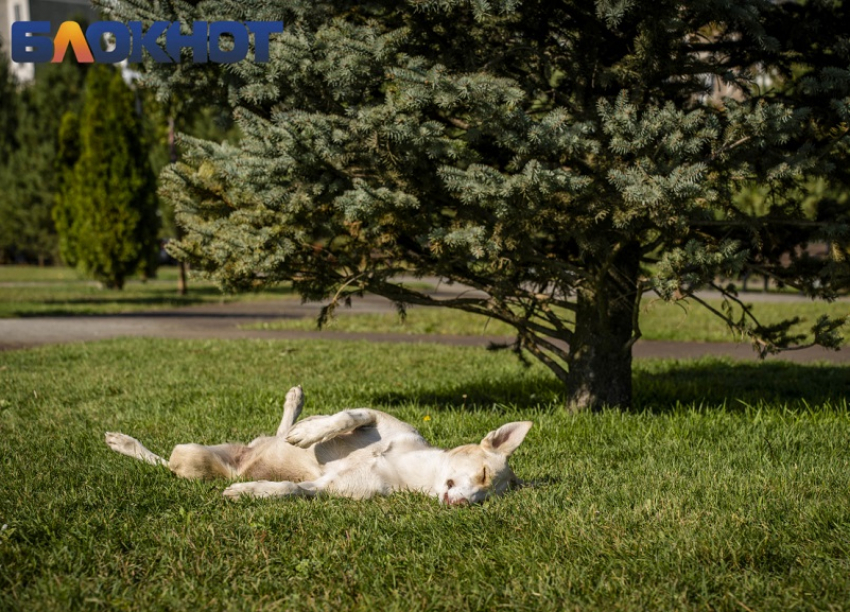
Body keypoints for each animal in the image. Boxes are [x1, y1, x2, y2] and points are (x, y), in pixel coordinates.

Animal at [104, 384, 528, 504]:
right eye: (484, 473)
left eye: (486, 498)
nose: (463, 504)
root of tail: (243, 457)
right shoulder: (378, 419)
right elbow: (348, 416)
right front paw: (312, 434)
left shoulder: (326, 488)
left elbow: (290, 489)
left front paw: (249, 491)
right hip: (190, 453)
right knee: (161, 460)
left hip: (199, 463)